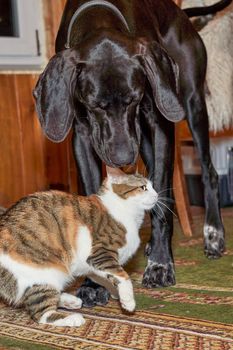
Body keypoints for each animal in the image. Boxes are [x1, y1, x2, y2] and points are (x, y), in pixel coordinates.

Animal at [0, 168, 157, 326]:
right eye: (143, 187)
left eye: (152, 186)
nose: (156, 195)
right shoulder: (100, 254)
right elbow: (123, 276)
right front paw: (128, 300)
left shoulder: (93, 266)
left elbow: (106, 278)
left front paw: (116, 292)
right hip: (46, 271)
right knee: (41, 314)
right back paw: (72, 318)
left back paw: (70, 301)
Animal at [33, 0, 228, 306]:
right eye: (95, 105)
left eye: (134, 99)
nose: (123, 158)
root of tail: (182, 13)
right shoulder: (81, 136)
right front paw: (93, 282)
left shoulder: (159, 125)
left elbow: (162, 200)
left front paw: (160, 264)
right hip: (145, 142)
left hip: (192, 104)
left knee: (208, 171)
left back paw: (213, 234)